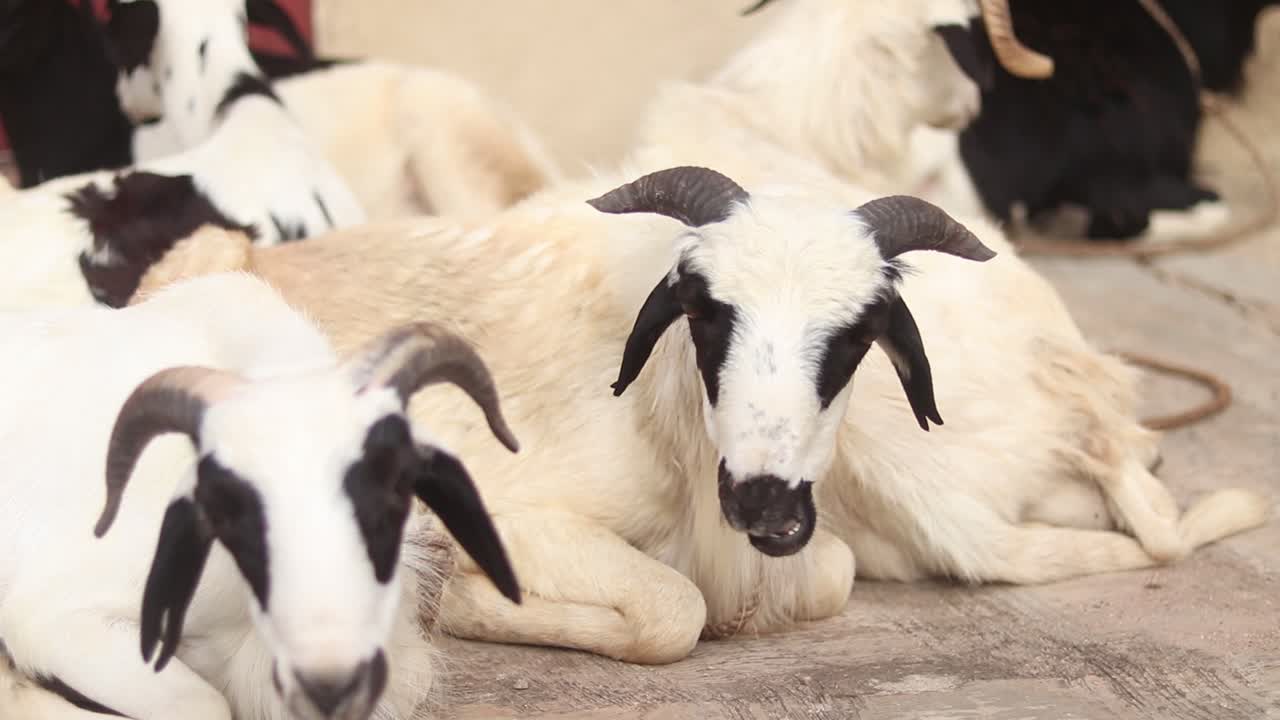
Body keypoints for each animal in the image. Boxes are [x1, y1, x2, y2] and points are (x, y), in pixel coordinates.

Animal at [134, 163, 1271, 667]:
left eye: (857, 334)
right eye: (707, 313)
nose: (766, 502)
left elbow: (810, 582)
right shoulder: (513, 510)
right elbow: (674, 615)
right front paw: (468, 607)